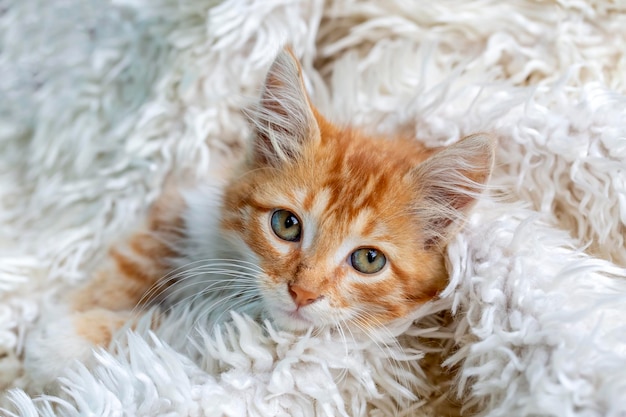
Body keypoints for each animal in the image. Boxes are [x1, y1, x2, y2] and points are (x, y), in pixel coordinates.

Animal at [23, 48, 492, 386]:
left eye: (368, 259)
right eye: (287, 224)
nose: (302, 293)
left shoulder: (229, 339)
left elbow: (167, 329)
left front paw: (66, 342)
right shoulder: (188, 198)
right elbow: (129, 262)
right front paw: (68, 314)